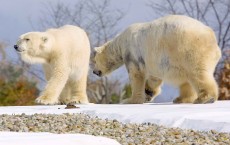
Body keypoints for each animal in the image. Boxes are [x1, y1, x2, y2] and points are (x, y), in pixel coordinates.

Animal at [92, 14, 222, 103]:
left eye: (94, 61)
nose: (94, 72)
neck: (120, 42)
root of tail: (212, 36)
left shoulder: (132, 52)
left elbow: (136, 75)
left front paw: (130, 100)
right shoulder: (154, 60)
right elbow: (154, 77)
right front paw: (148, 91)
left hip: (189, 49)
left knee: (198, 73)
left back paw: (205, 98)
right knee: (187, 78)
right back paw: (180, 99)